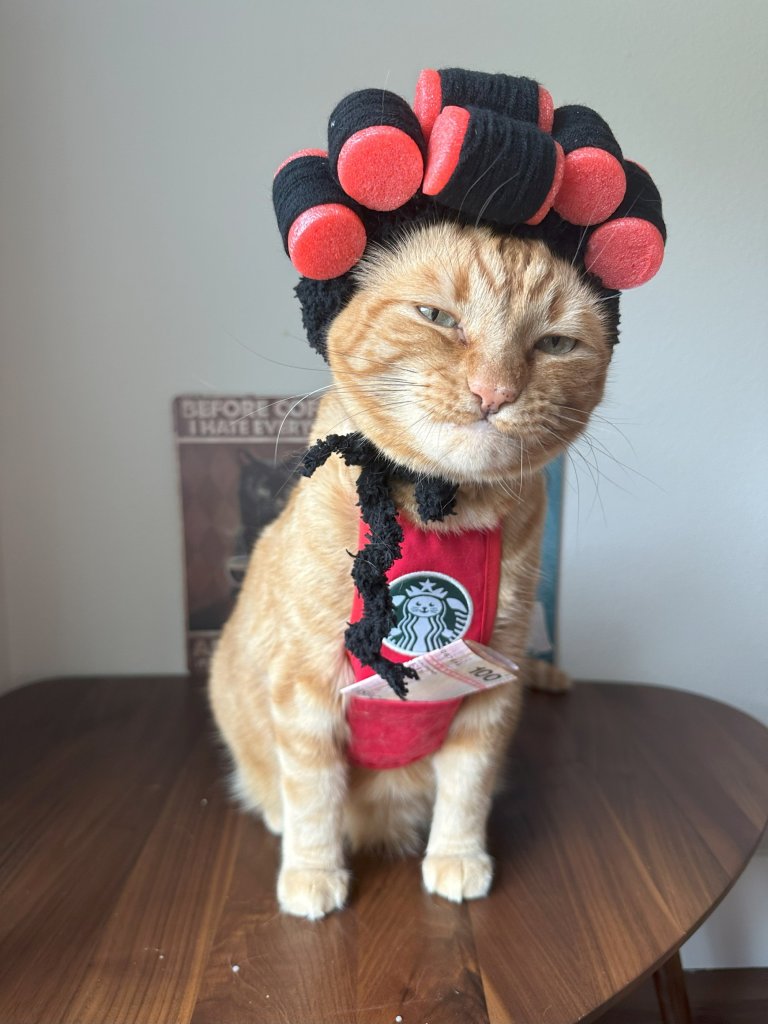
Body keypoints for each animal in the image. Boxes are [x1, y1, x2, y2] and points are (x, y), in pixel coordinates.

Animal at [207, 222, 618, 921]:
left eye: (556, 343)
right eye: (437, 317)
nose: (494, 392)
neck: (439, 509)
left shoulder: (493, 683)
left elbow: (468, 785)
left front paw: (457, 854)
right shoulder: (303, 689)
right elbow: (313, 792)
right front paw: (312, 869)